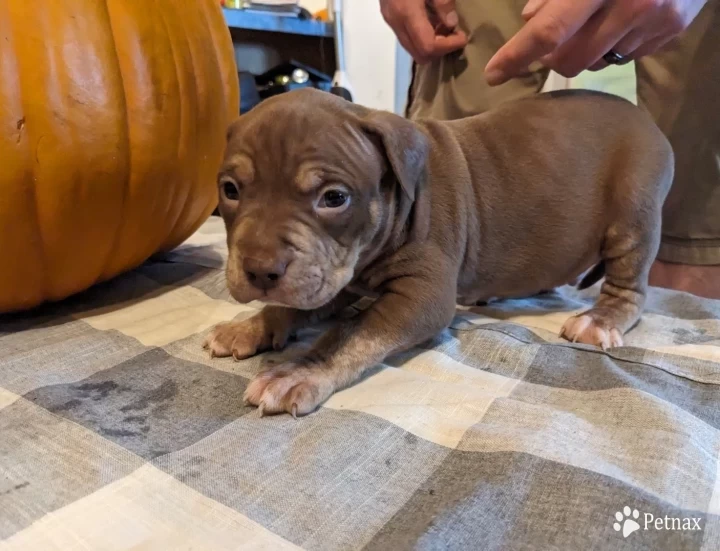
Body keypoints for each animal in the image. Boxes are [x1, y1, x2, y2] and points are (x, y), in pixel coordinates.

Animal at [204, 87, 676, 418]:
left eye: (334, 198)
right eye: (230, 190)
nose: (260, 271)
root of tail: (648, 121)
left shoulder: (422, 295)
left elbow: (351, 333)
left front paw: (299, 370)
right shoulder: (335, 274)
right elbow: (296, 304)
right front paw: (249, 326)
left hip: (634, 213)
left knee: (630, 286)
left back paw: (600, 320)